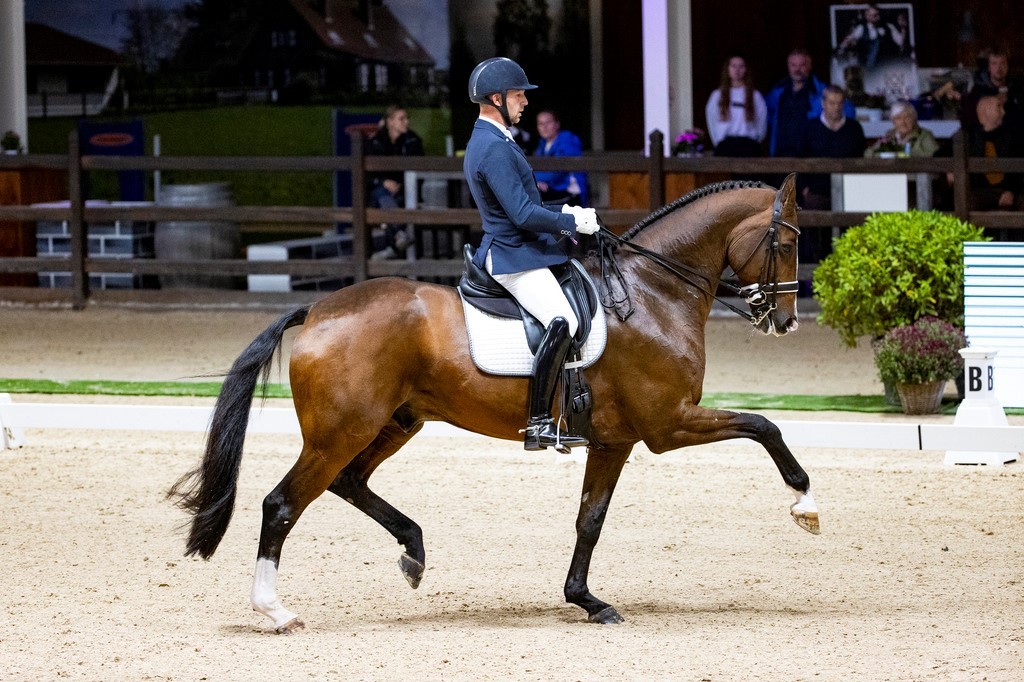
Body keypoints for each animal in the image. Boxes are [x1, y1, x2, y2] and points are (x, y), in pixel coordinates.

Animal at [172, 173, 819, 630]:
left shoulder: (615, 440)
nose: (785, 321)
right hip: (341, 431)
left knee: (349, 482)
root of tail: (317, 310)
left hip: (395, 423)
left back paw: (414, 551)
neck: (653, 293)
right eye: (788, 241)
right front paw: (805, 503)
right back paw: (275, 610)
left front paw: (586, 600)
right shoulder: (668, 425)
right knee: (283, 503)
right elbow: (764, 425)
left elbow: (590, 520)